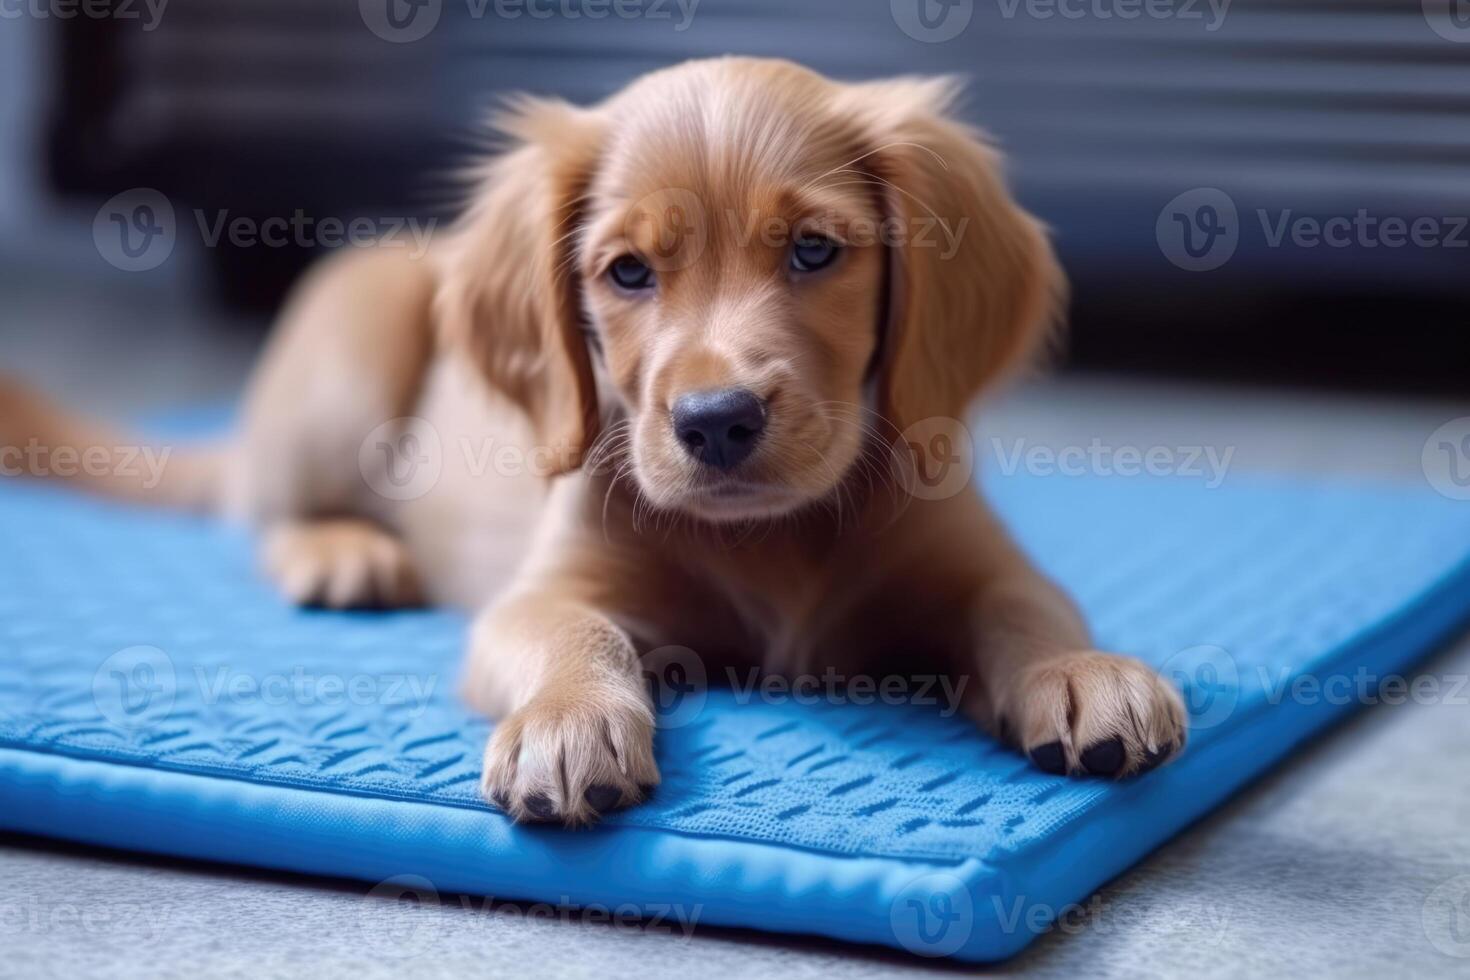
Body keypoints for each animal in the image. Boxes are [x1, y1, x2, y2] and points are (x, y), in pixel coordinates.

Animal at [2, 57, 1181, 828]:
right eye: (627, 272)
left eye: (814, 250)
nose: (716, 421)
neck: (776, 537)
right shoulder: (546, 588)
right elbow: (576, 634)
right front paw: (568, 723)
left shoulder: (973, 559)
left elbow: (1026, 604)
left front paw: (1084, 673)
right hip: (352, 335)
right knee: (263, 510)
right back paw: (345, 553)